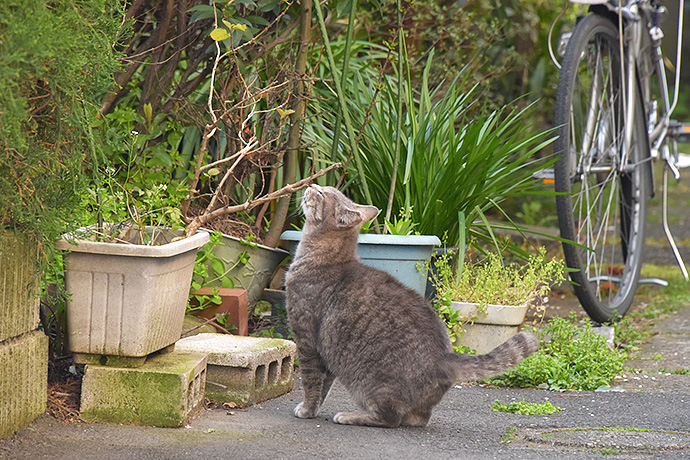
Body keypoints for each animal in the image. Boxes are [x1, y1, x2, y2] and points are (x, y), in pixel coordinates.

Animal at [284, 184, 536, 428]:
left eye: (321, 192)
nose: (310, 184)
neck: (323, 257)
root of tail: (445, 358)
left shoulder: (306, 339)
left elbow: (311, 382)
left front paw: (307, 411)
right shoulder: (325, 353)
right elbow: (324, 386)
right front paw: (313, 410)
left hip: (369, 384)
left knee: (390, 419)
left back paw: (349, 416)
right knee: (418, 419)